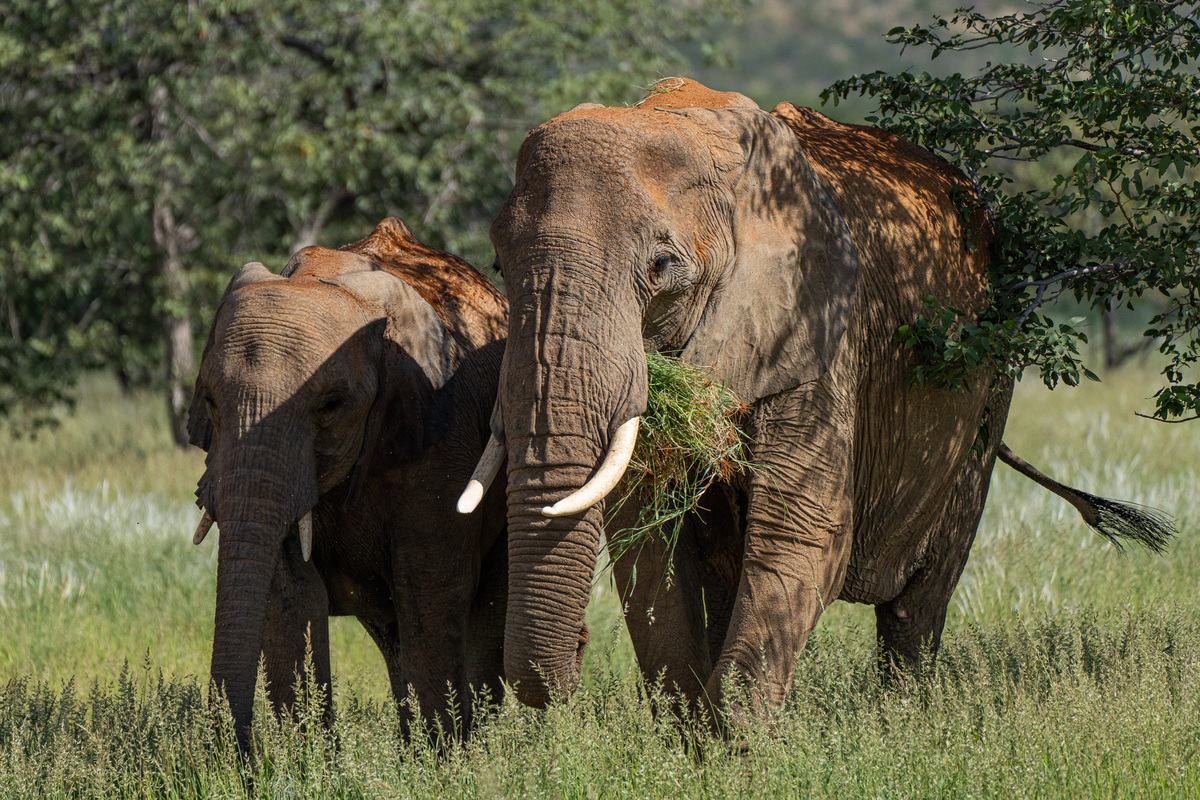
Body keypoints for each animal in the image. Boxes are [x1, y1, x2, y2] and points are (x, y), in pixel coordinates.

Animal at [188, 217, 509, 749]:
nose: (238, 755)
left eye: (330, 406)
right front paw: (310, 760)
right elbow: (291, 596)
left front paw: (446, 758)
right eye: (211, 401)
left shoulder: (444, 435)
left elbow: (429, 588)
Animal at [455, 78, 1172, 721]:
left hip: (990, 376)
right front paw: (693, 748)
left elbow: (803, 527)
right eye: (497, 265)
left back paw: (904, 723)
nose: (579, 646)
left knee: (919, 600)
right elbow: (652, 543)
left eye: (662, 269)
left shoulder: (821, 326)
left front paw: (734, 750)